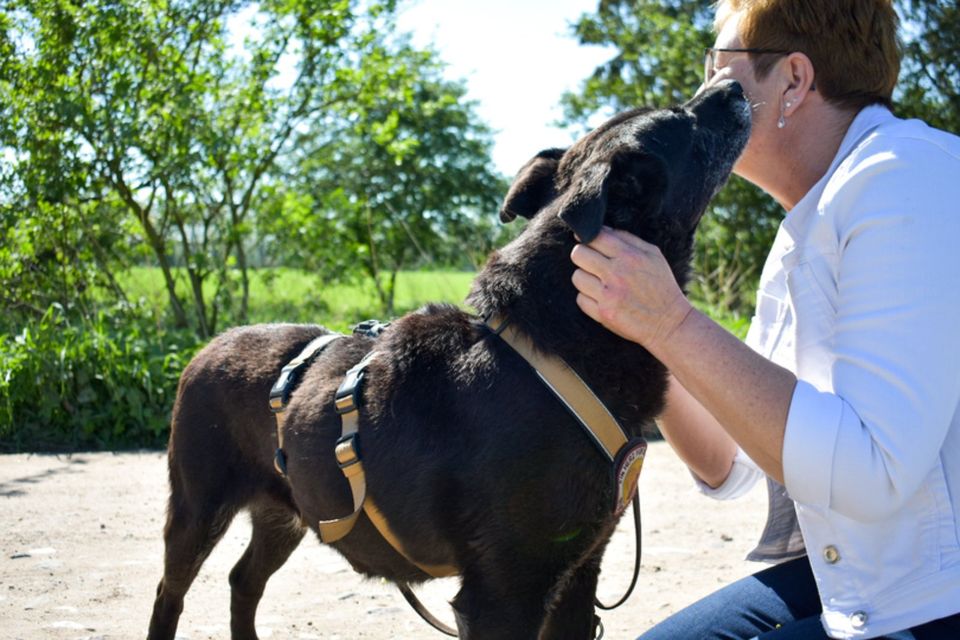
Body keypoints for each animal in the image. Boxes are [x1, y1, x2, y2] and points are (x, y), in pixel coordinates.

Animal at [148, 81, 752, 640]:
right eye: (683, 120)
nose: (734, 84)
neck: (559, 343)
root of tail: (209, 347)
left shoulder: (578, 575)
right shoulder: (503, 594)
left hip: (288, 511)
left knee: (243, 581)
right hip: (198, 509)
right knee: (170, 592)